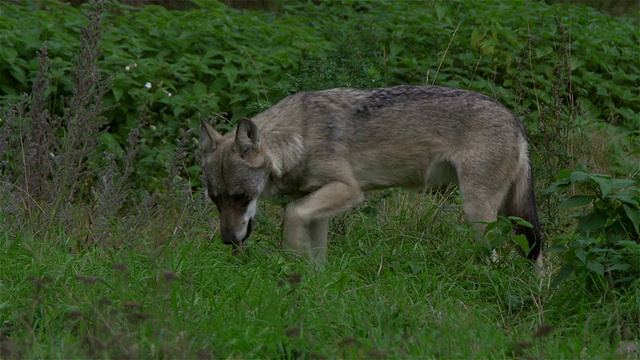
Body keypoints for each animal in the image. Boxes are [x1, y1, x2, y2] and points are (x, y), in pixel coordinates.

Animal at [199, 86, 540, 268]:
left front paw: (291, 264)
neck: (299, 138)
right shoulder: (319, 209)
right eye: (216, 200)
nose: (228, 241)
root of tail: (516, 121)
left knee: (501, 258)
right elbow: (317, 254)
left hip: (477, 214)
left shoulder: (348, 190)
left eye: (240, 197)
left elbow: (291, 215)